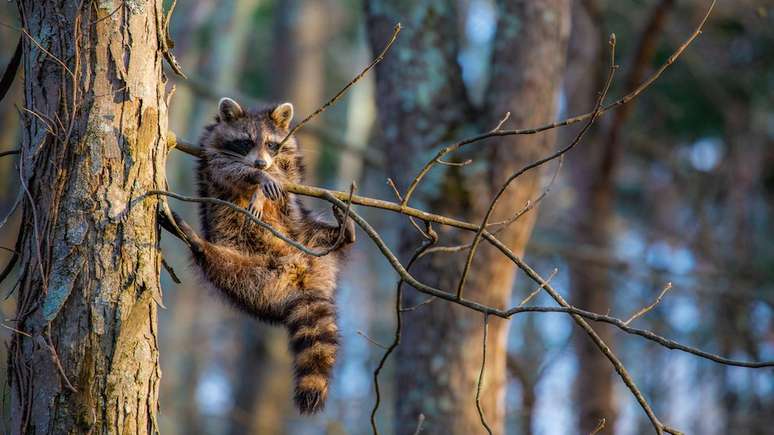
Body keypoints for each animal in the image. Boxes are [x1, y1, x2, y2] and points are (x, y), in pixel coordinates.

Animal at [171, 99, 356, 416]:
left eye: (271, 144)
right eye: (245, 141)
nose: (260, 164)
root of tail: (303, 280)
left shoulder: (290, 156)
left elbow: (289, 173)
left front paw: (265, 182)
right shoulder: (210, 151)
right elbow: (226, 169)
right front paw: (258, 178)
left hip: (307, 235)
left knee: (321, 233)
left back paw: (344, 233)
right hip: (250, 274)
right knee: (221, 267)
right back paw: (197, 243)